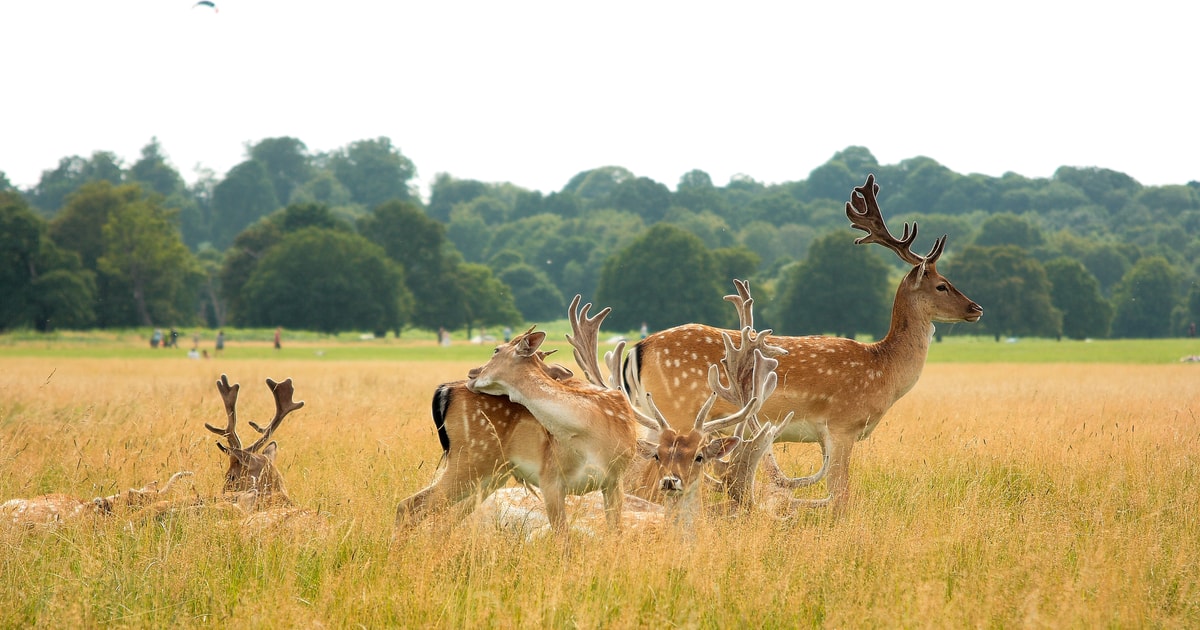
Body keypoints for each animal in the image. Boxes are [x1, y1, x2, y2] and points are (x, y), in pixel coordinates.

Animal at [624, 174, 979, 508]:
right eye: (942, 285)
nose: (976, 308)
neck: (883, 371)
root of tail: (639, 348)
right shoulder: (841, 426)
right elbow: (840, 496)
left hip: (655, 418)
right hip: (679, 412)